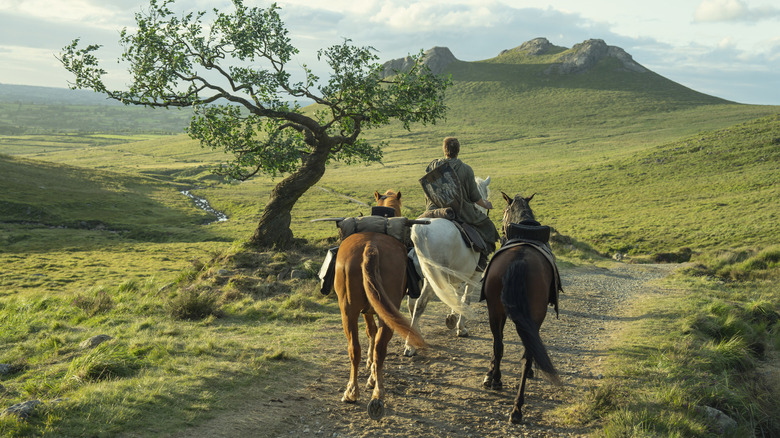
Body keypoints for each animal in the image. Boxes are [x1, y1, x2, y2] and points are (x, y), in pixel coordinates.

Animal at [334, 190, 426, 420]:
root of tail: (371, 246)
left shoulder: (366, 310)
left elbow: (369, 332)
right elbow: (372, 333)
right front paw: (372, 373)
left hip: (348, 312)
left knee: (354, 348)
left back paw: (352, 391)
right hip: (385, 312)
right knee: (380, 348)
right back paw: (377, 393)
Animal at [403, 176, 492, 357]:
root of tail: (421, 229)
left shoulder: (456, 277)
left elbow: (455, 296)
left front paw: (452, 318)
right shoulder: (474, 276)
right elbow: (465, 299)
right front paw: (461, 327)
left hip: (419, 278)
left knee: (412, 304)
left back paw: (416, 335)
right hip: (432, 279)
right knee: (420, 304)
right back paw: (410, 345)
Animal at [482, 192, 561, 424]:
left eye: (503, 213)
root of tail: (520, 259)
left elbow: (499, 345)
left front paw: (491, 375)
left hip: (495, 310)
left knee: (499, 345)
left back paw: (500, 384)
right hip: (530, 315)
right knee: (526, 354)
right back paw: (517, 406)